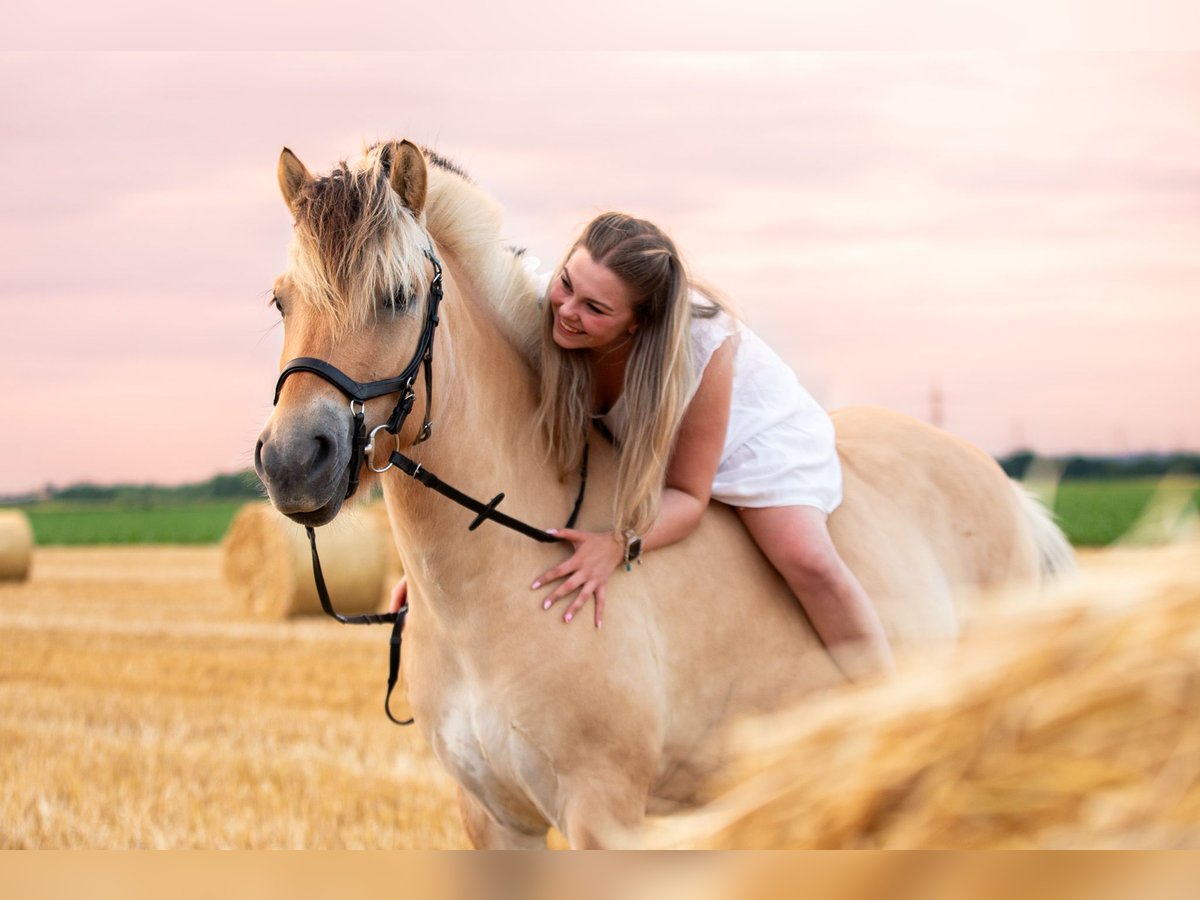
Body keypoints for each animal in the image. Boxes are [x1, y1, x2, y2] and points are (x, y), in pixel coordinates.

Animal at [255, 139, 1080, 844]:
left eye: (397, 296)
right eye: (280, 301)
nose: (294, 461)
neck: (494, 581)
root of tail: (1004, 489)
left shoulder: (604, 815)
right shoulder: (493, 818)